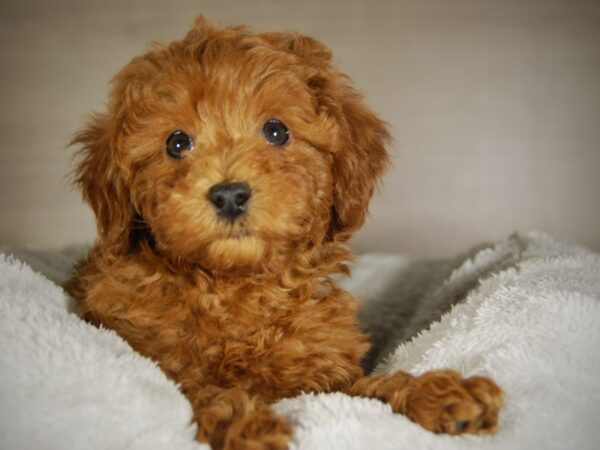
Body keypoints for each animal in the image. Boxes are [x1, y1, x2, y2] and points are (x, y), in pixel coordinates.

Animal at [65, 16, 504, 450]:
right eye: (176, 143)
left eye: (276, 131)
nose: (229, 194)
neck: (234, 288)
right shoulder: (158, 360)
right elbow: (202, 391)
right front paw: (247, 424)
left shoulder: (325, 379)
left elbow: (370, 388)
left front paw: (438, 394)